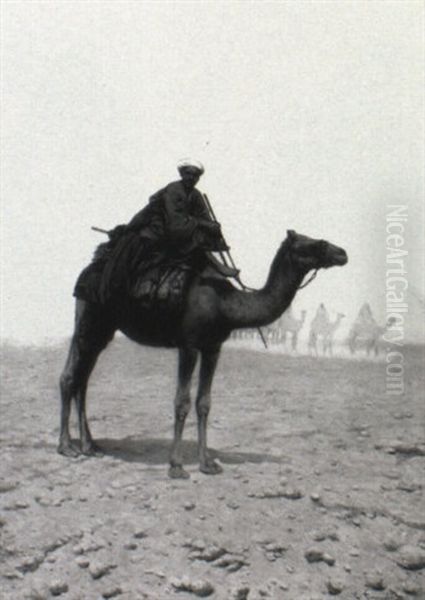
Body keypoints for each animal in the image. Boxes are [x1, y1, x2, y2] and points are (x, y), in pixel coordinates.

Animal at [58, 230, 346, 478]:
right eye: (313, 244)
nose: (342, 253)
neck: (227, 304)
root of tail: (87, 272)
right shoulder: (189, 345)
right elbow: (182, 401)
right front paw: (176, 466)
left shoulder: (212, 348)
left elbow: (204, 403)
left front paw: (207, 463)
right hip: (90, 321)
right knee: (70, 377)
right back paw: (67, 447)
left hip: (102, 330)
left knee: (82, 380)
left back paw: (90, 446)